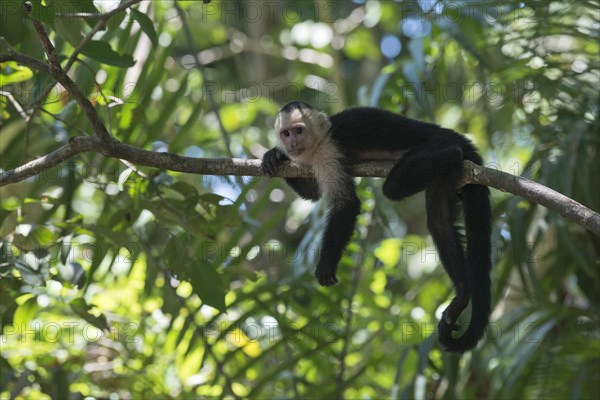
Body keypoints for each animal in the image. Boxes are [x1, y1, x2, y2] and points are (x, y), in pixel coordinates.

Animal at [262, 101, 492, 354]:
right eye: (286, 133)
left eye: (299, 130)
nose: (292, 143)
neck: (319, 140)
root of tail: (455, 136)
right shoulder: (307, 161)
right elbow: (313, 194)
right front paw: (275, 155)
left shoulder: (328, 152)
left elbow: (346, 204)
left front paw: (326, 264)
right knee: (439, 221)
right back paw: (463, 291)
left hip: (436, 144)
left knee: (394, 188)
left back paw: (453, 154)